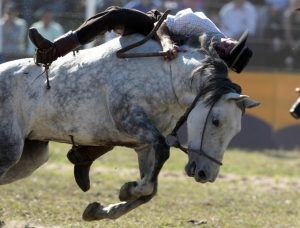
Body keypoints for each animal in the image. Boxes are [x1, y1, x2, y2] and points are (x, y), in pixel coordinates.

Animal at [0, 33, 258, 220]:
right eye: (216, 121)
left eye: (236, 130)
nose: (206, 174)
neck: (167, 76)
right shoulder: (131, 121)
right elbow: (161, 153)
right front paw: (128, 190)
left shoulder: (143, 145)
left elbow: (150, 188)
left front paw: (102, 209)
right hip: (10, 150)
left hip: (31, 155)